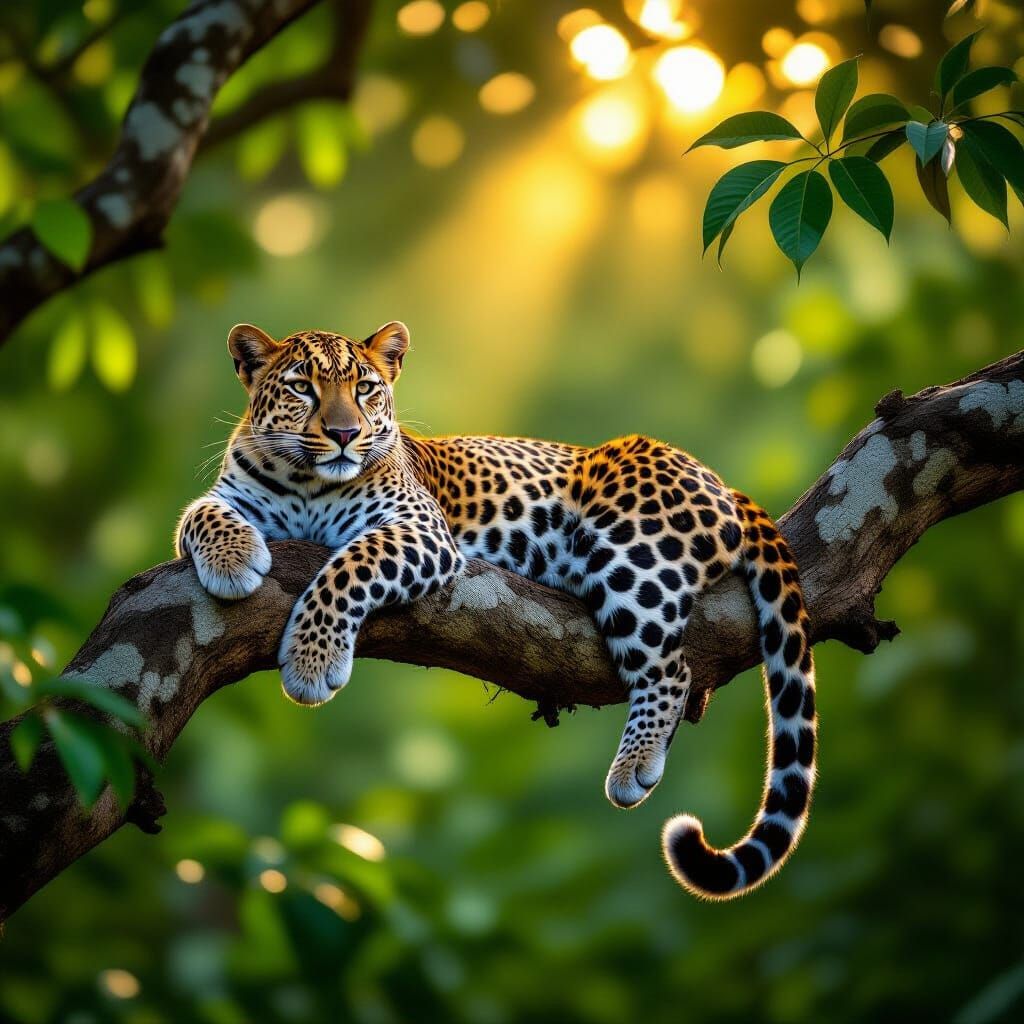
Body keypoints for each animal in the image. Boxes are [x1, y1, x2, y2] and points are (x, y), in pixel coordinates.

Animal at [177, 321, 817, 899]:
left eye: (364, 388)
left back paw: (633, 766)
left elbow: (347, 567)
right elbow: (199, 514)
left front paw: (312, 662)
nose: (342, 433)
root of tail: (720, 481)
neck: (307, 482)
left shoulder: (419, 529)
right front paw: (233, 560)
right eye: (302, 388)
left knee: (671, 669)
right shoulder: (227, 499)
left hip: (632, 555)